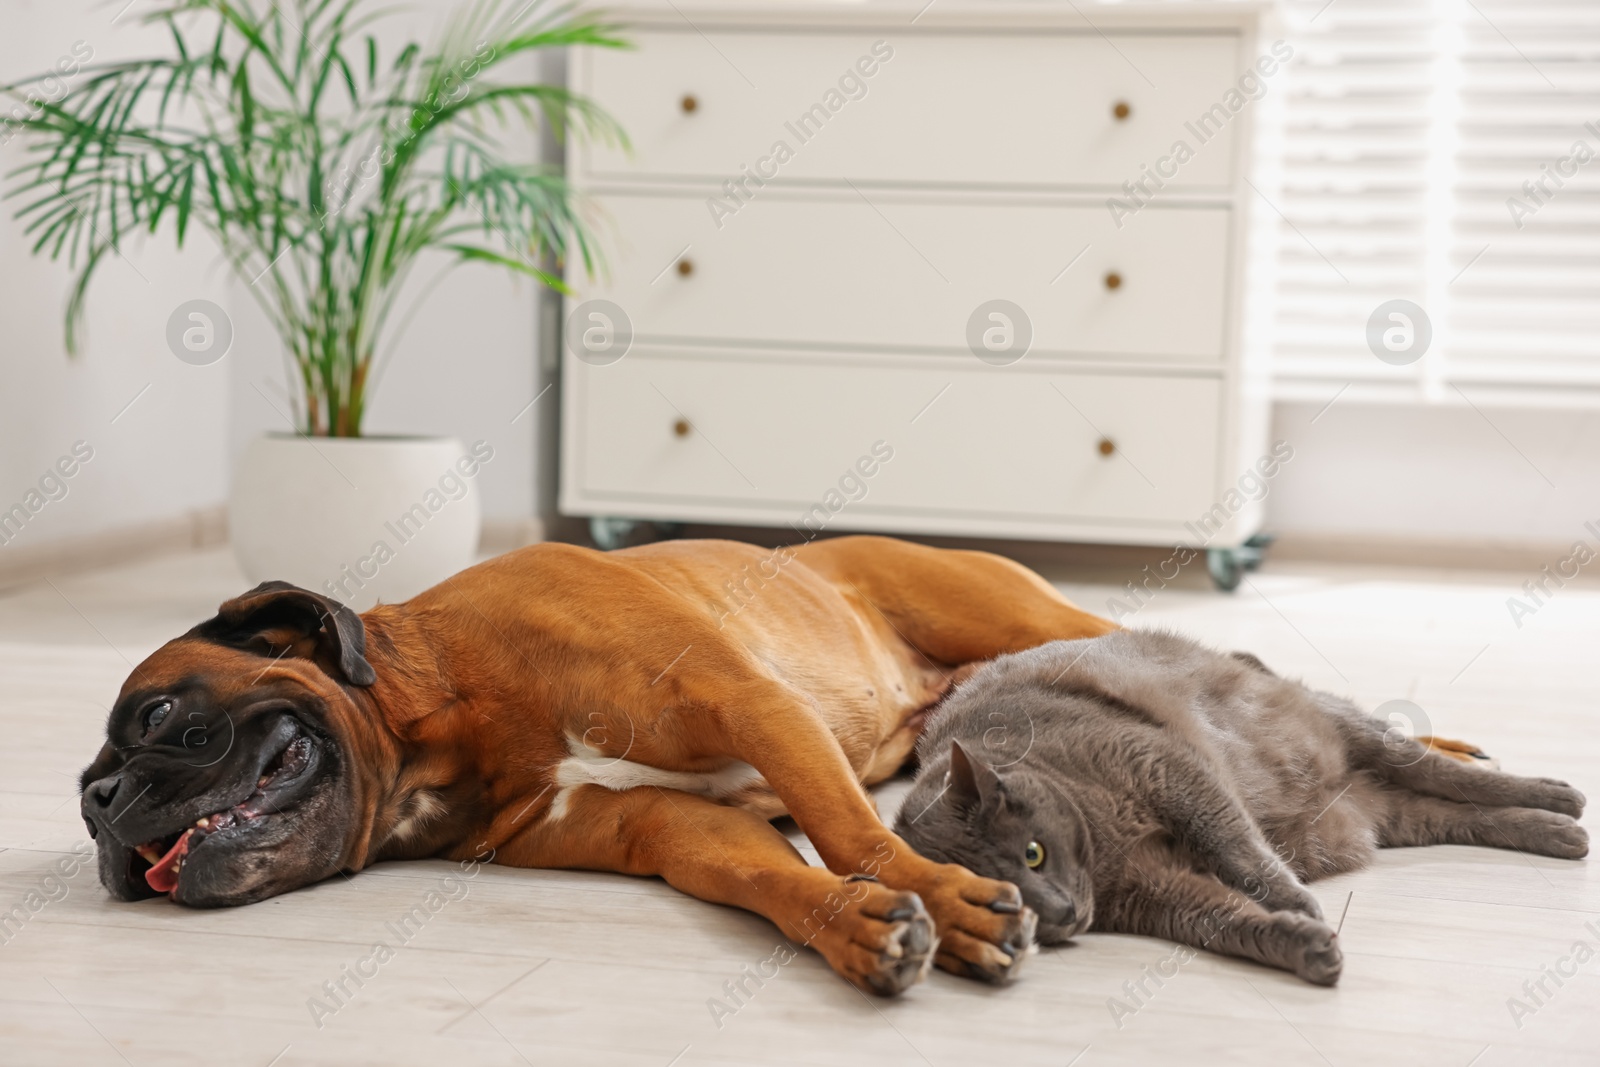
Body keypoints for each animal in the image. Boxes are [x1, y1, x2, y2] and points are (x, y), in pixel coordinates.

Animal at [81, 537, 1484, 998]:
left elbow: (853, 825)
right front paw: (865, 926)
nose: (96, 804)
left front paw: (949, 898)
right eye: (95, 771)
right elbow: (783, 870)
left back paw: (1453, 741)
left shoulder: (748, 704)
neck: (444, 704)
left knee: (1226, 651)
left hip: (1018, 615)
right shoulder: (668, 831)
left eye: (159, 718)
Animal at [896, 630, 1580, 991]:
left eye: (1033, 854)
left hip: (1353, 732)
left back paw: (1559, 797)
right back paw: (1558, 833)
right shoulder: (1155, 891)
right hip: (1399, 816)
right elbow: (1223, 921)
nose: (1062, 912)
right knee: (1459, 812)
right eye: (1005, 896)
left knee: (1450, 773)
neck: (1105, 851)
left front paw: (1300, 905)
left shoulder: (1167, 767)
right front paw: (1306, 945)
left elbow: (1239, 849)